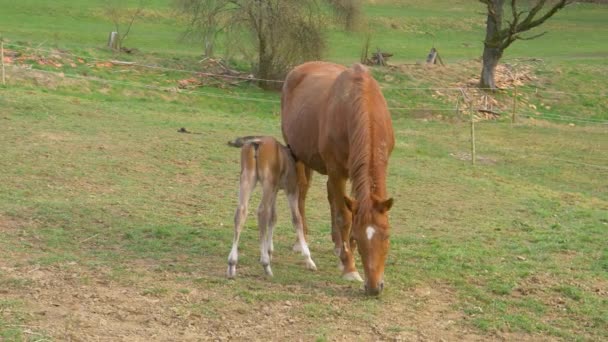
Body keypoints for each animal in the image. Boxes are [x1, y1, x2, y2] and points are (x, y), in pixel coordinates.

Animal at [226, 136, 316, 278]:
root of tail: (257, 143)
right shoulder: (291, 189)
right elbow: (296, 219)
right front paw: (308, 259)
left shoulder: (275, 189)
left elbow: (273, 217)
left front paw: (269, 251)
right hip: (267, 183)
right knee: (262, 212)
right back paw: (265, 264)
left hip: (247, 178)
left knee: (241, 212)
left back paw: (232, 264)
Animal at [280, 60, 394, 294]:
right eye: (360, 238)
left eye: (387, 236)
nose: (374, 287)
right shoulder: (337, 171)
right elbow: (344, 217)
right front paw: (349, 266)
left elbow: (348, 209)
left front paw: (344, 250)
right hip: (296, 154)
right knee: (301, 193)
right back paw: (301, 241)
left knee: (331, 197)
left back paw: (336, 245)